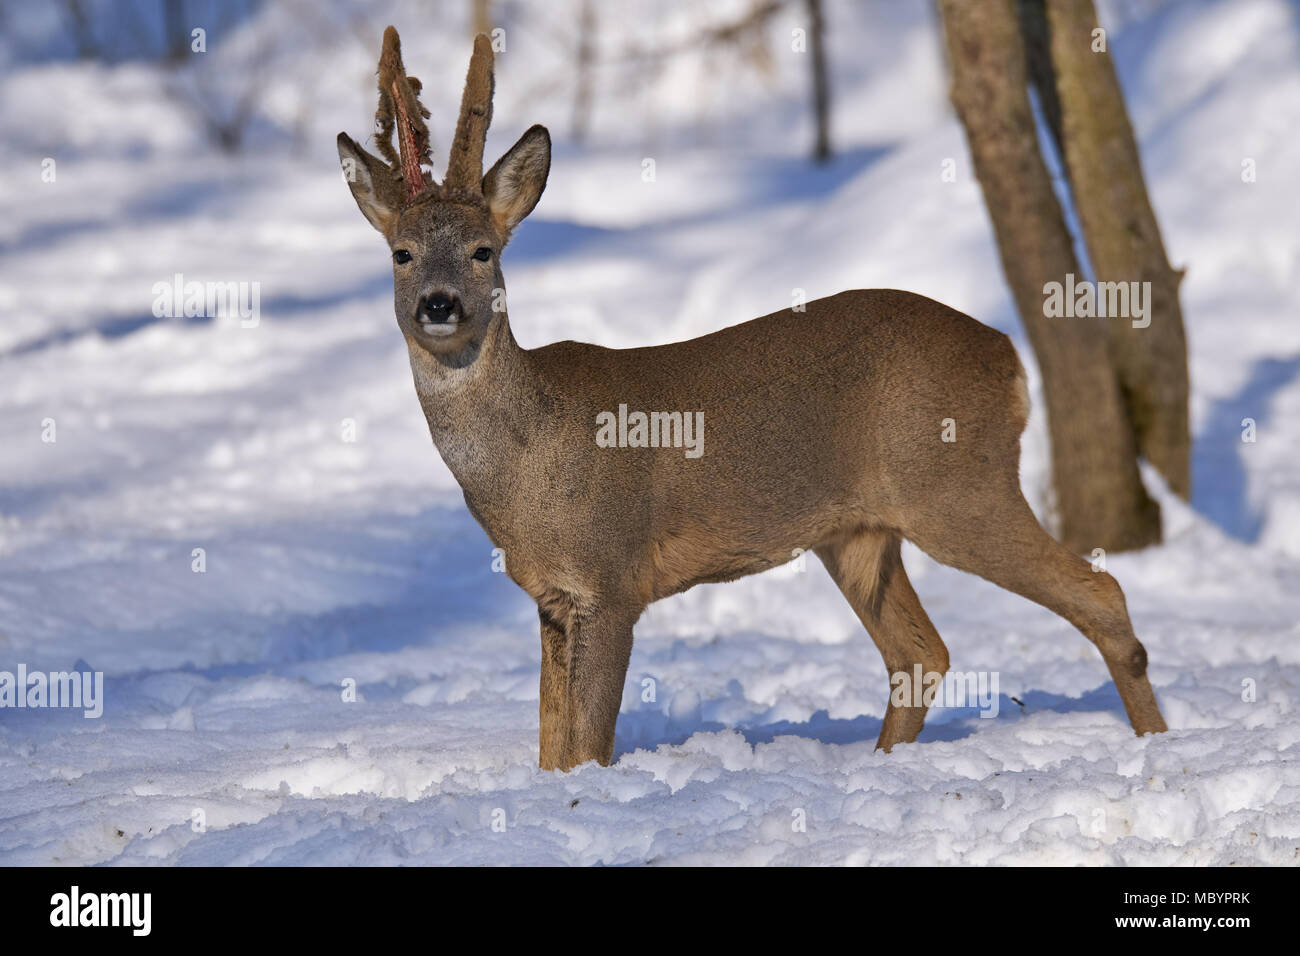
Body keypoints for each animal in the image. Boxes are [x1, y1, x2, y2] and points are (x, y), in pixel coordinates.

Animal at [336, 28, 1168, 772]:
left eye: (484, 251)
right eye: (401, 253)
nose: (438, 304)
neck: (529, 457)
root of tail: (1009, 357)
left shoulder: (613, 577)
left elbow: (588, 748)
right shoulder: (550, 598)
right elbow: (552, 747)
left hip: (957, 486)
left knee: (1101, 590)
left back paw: (1156, 743)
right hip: (858, 531)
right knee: (921, 651)